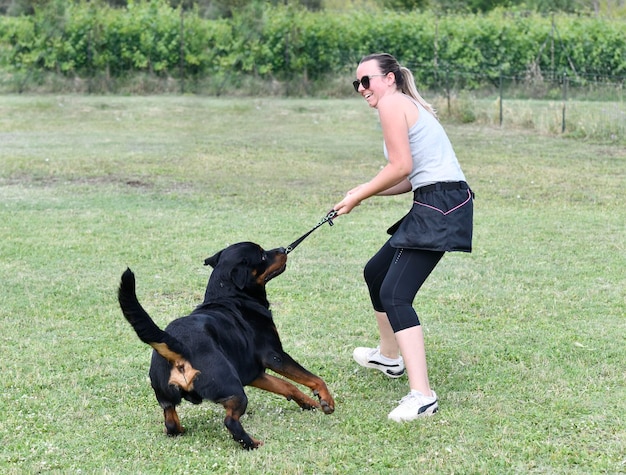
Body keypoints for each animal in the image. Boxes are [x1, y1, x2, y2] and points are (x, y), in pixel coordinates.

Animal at [116, 242, 332, 450]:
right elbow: (313, 378)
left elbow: (287, 386)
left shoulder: (253, 373)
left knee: (170, 423)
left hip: (167, 397)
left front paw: (310, 403)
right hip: (233, 389)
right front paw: (327, 401)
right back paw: (253, 444)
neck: (229, 296)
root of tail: (178, 345)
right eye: (262, 255)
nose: (282, 249)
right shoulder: (274, 356)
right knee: (230, 421)